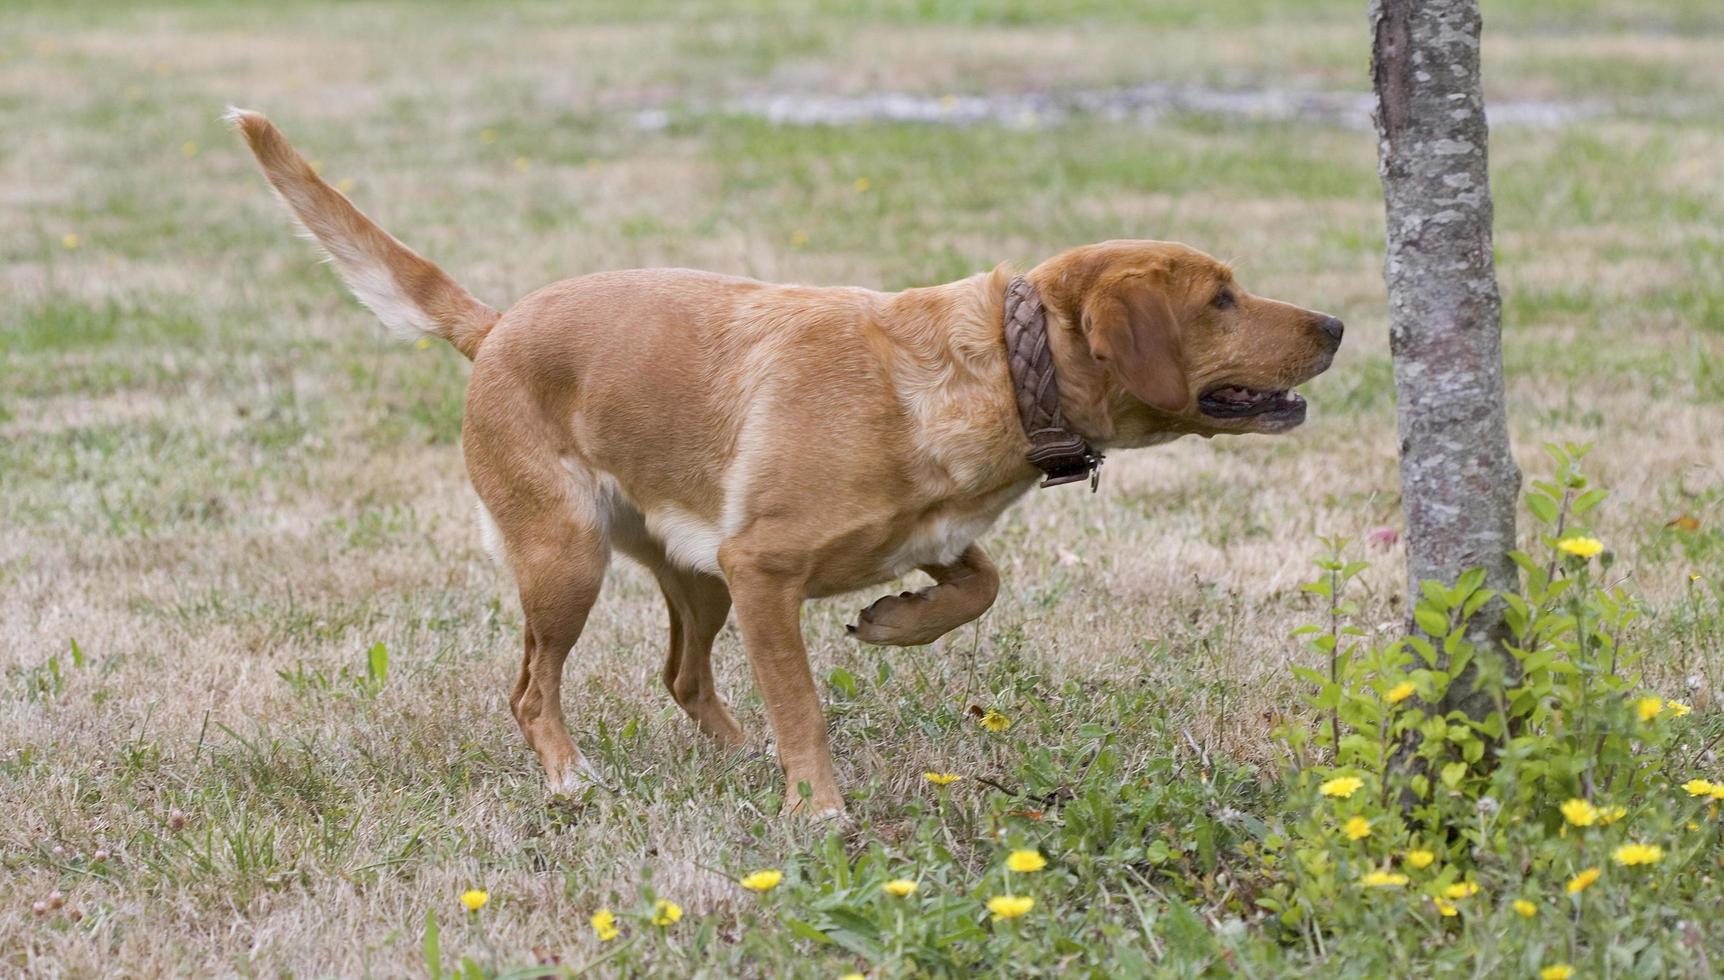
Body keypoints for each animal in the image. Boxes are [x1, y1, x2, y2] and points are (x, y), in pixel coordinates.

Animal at [229, 106, 1337, 814]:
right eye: (1221, 298)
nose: (1334, 322)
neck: (990, 365)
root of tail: (496, 325)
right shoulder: (763, 569)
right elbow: (803, 703)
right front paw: (819, 811)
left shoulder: (903, 537)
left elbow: (978, 581)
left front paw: (897, 623)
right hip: (569, 560)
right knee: (532, 687)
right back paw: (572, 777)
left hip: (694, 575)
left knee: (681, 675)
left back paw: (736, 758)